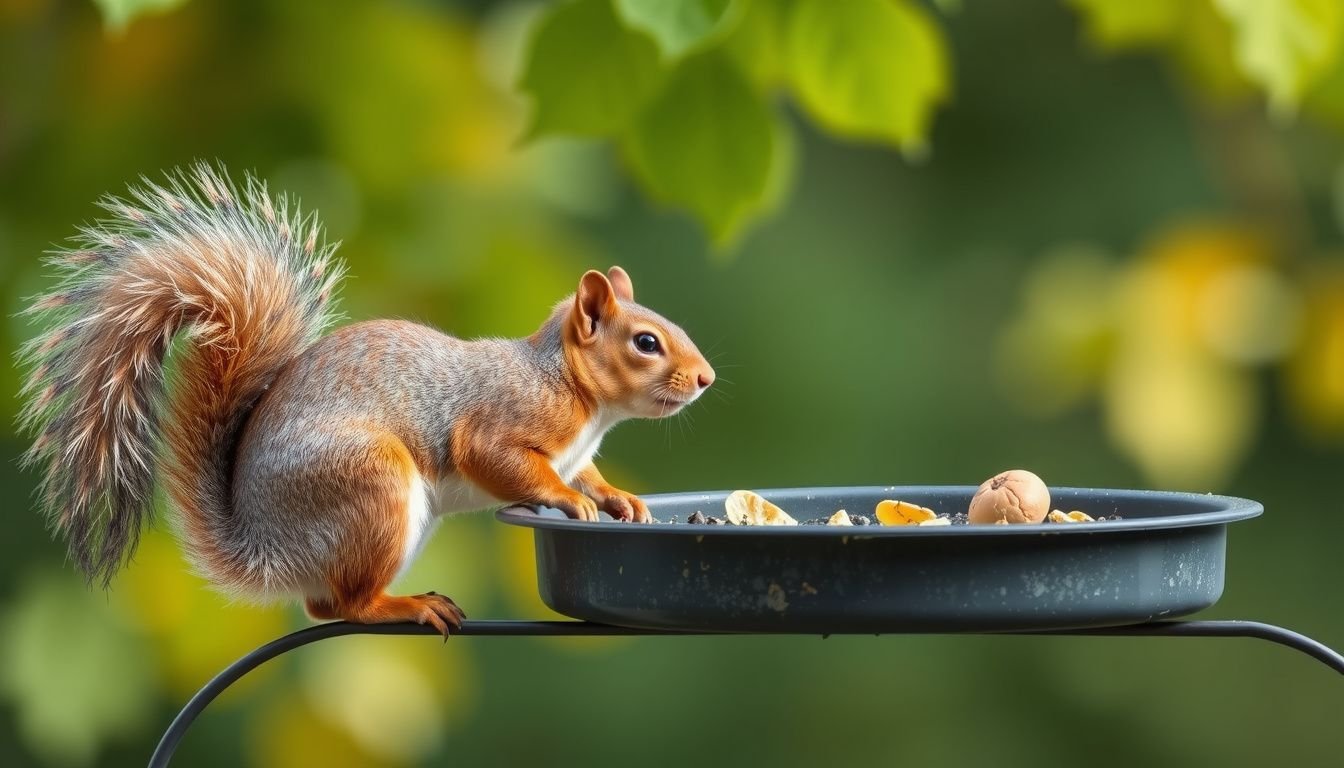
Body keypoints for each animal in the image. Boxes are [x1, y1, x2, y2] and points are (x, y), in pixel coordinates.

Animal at [17, 165, 715, 636]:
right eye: (646, 342)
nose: (706, 378)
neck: (577, 395)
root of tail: (265, 548)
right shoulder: (500, 420)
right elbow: (502, 461)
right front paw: (569, 499)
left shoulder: (575, 448)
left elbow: (589, 473)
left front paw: (618, 498)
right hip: (371, 486)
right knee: (347, 605)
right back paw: (409, 605)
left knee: (325, 604)